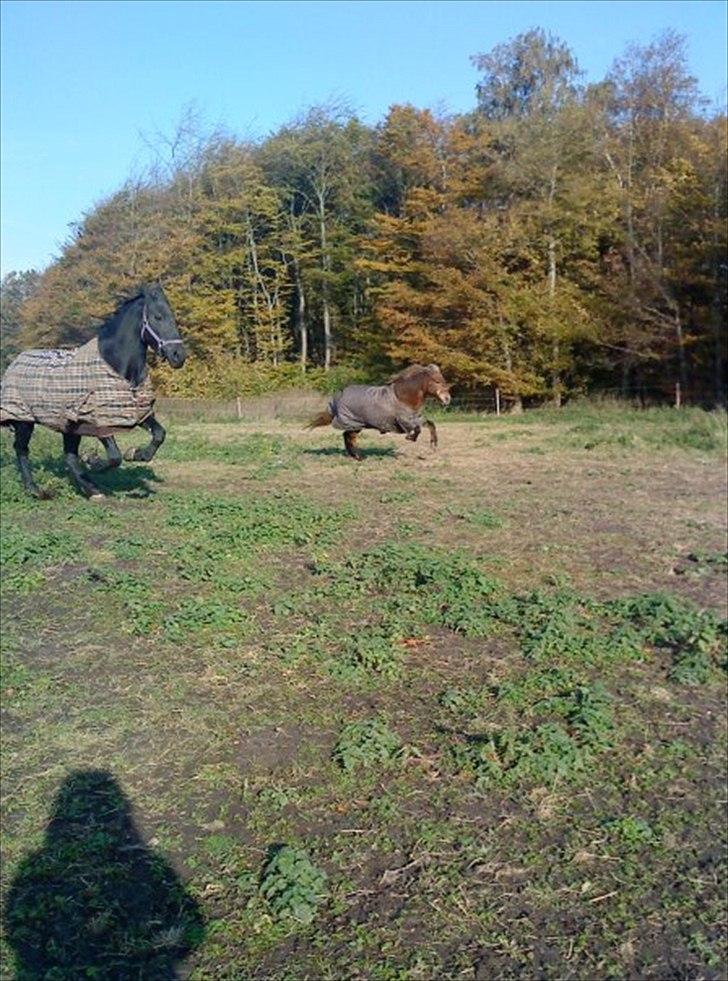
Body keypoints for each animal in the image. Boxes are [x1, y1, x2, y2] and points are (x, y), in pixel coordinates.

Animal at [0, 283, 186, 499]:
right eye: (158, 317)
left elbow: (159, 434)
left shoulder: (136, 412)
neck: (117, 367)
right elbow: (114, 457)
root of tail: (16, 361)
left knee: (69, 456)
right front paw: (93, 460)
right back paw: (35, 490)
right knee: (21, 450)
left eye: (172, 316)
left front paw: (136, 453)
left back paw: (91, 489)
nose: (178, 356)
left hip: (69, 426)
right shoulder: (99, 420)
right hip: (24, 421)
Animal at [307, 363, 451, 460]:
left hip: (356, 424)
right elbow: (417, 430)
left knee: (347, 436)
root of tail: (337, 397)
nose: (447, 399)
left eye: (443, 381)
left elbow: (430, 424)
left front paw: (434, 445)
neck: (403, 397)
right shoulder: (404, 421)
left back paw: (355, 455)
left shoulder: (415, 418)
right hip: (355, 423)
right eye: (437, 381)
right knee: (349, 436)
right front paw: (410, 438)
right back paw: (359, 456)